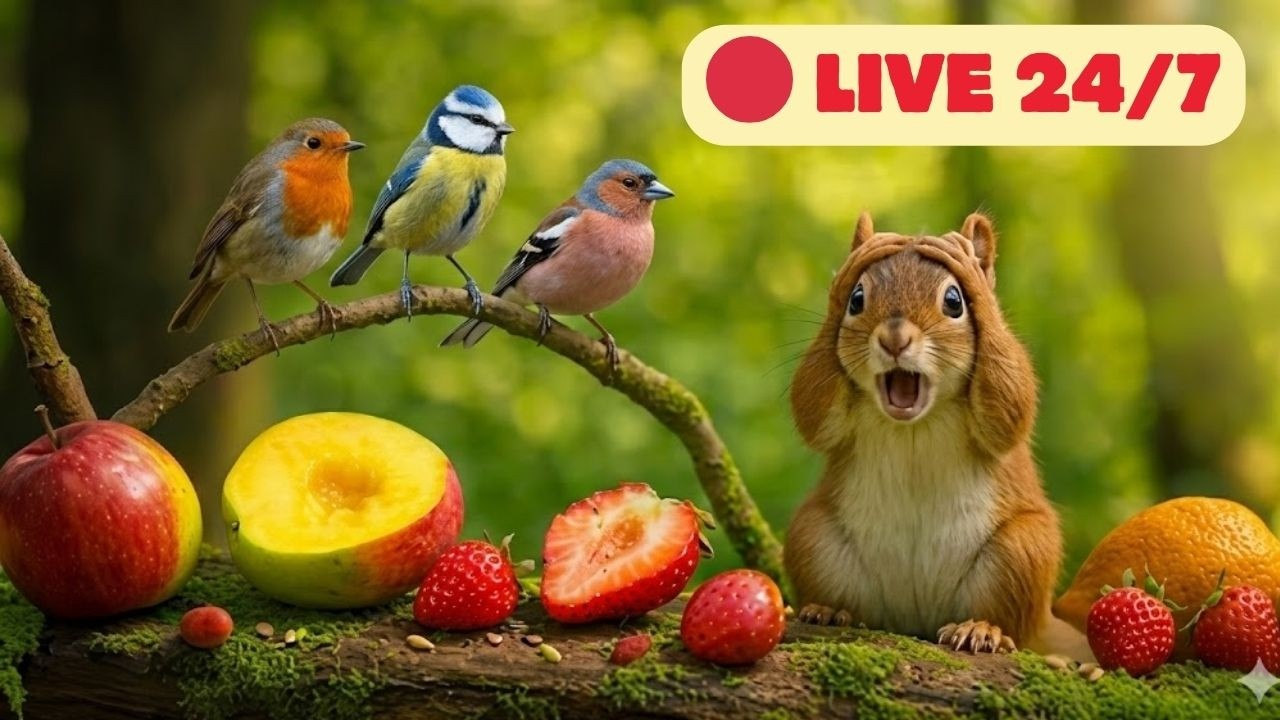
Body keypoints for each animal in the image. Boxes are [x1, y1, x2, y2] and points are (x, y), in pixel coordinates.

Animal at [785, 211, 1074, 655]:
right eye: (856, 299)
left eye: (955, 301)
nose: (894, 339)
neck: (915, 424)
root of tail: (916, 619)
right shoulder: (829, 417)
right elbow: (812, 412)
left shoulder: (1004, 411)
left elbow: (1011, 409)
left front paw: (974, 277)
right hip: (813, 536)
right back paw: (831, 610)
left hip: (1022, 552)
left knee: (1009, 620)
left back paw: (981, 629)